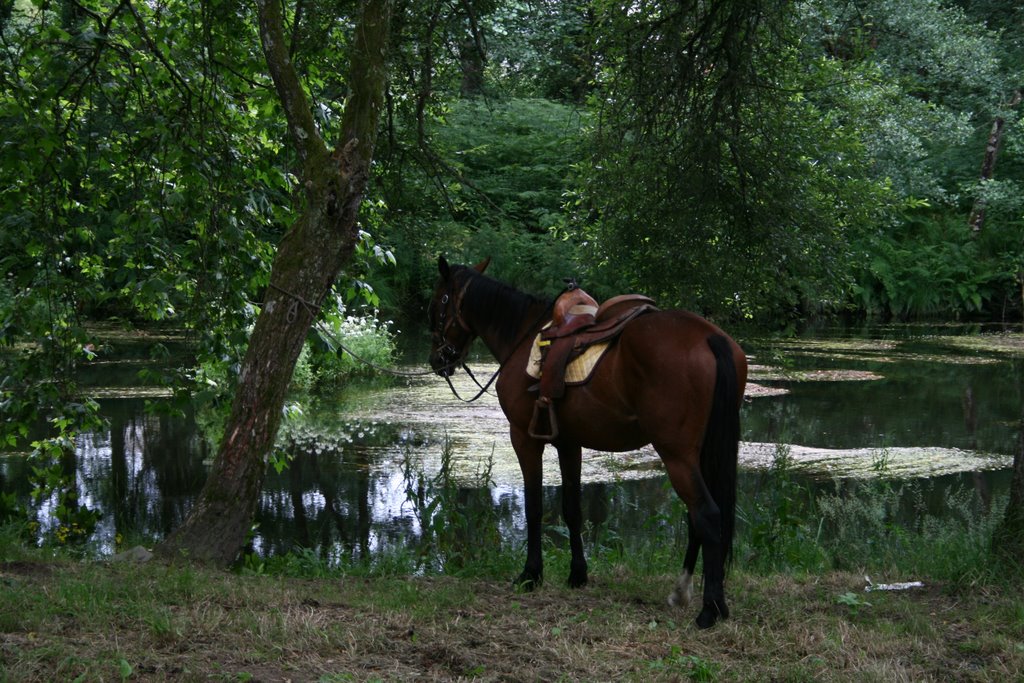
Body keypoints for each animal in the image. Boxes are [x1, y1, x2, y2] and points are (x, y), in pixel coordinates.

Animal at [428, 258, 749, 630]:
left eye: (437, 303)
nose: (438, 360)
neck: (522, 335)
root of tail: (710, 337)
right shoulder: (569, 444)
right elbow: (572, 509)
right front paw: (577, 575)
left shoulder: (524, 437)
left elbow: (534, 507)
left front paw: (530, 574)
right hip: (702, 453)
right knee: (700, 517)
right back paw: (683, 592)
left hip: (677, 456)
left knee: (706, 515)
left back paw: (709, 608)